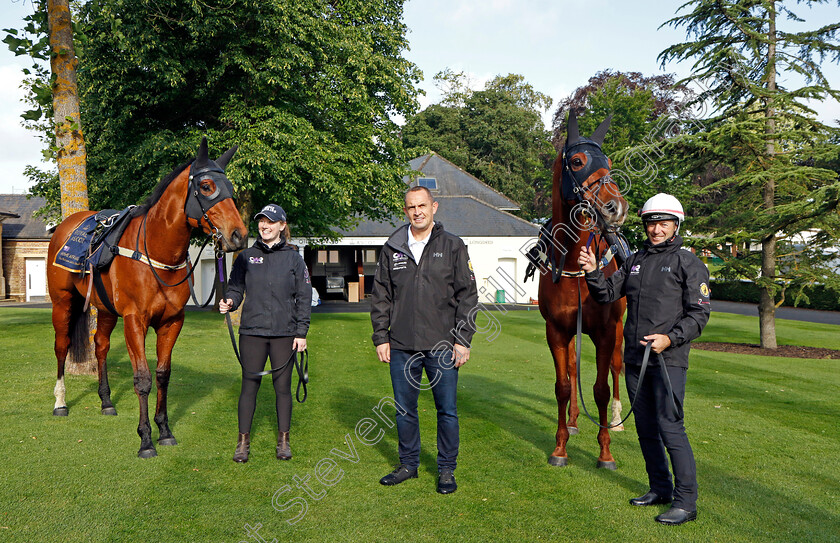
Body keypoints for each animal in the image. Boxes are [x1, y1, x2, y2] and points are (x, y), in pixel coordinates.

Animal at [47, 139, 248, 460]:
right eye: (206, 186)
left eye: (230, 186)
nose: (239, 235)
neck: (155, 250)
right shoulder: (134, 321)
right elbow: (142, 379)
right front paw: (145, 440)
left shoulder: (172, 322)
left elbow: (163, 374)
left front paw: (164, 431)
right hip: (62, 303)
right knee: (62, 347)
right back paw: (60, 403)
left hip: (106, 310)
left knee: (101, 346)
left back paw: (106, 402)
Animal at [540, 110, 632, 468]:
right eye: (578, 161)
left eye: (608, 161)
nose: (616, 207)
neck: (576, 268)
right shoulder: (556, 330)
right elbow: (564, 385)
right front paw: (560, 447)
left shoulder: (606, 330)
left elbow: (601, 389)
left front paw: (605, 451)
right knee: (575, 367)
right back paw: (575, 421)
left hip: (619, 330)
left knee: (618, 368)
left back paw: (617, 421)